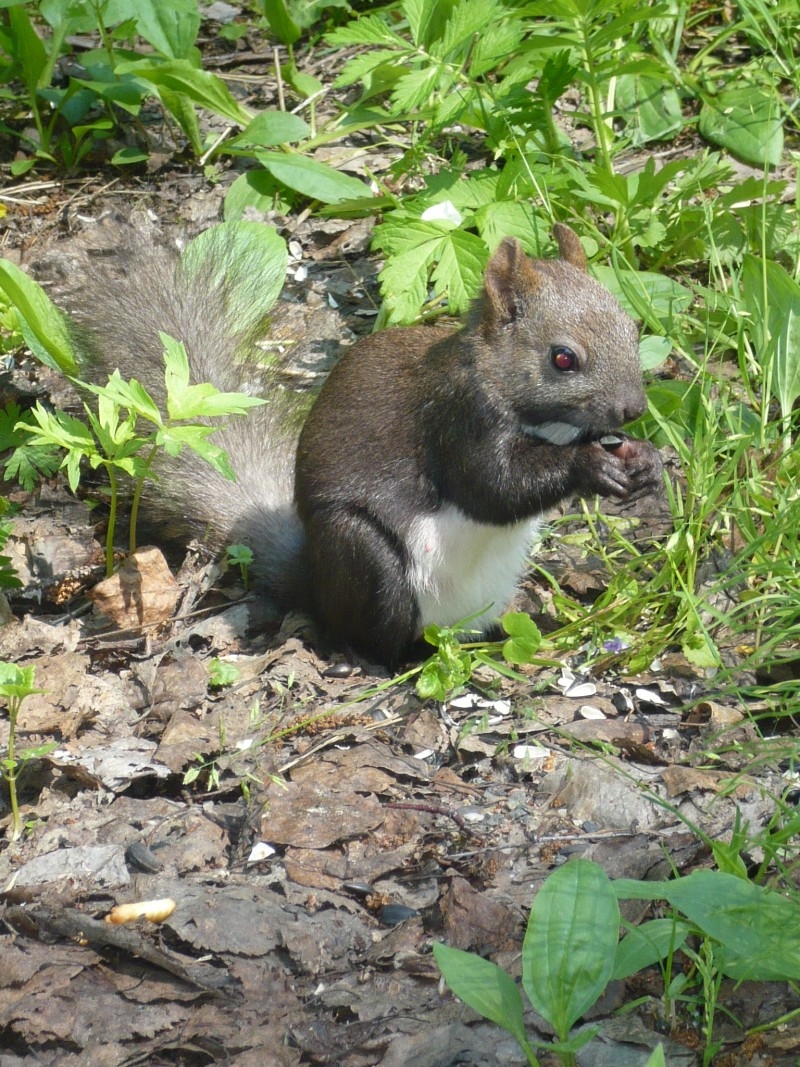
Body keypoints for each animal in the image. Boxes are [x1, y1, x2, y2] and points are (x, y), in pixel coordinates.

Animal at [54, 220, 665, 661]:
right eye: (563, 358)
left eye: (631, 326)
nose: (633, 408)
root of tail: (317, 585)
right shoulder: (457, 419)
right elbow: (493, 489)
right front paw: (590, 465)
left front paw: (645, 460)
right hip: (365, 558)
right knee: (372, 633)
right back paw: (395, 656)